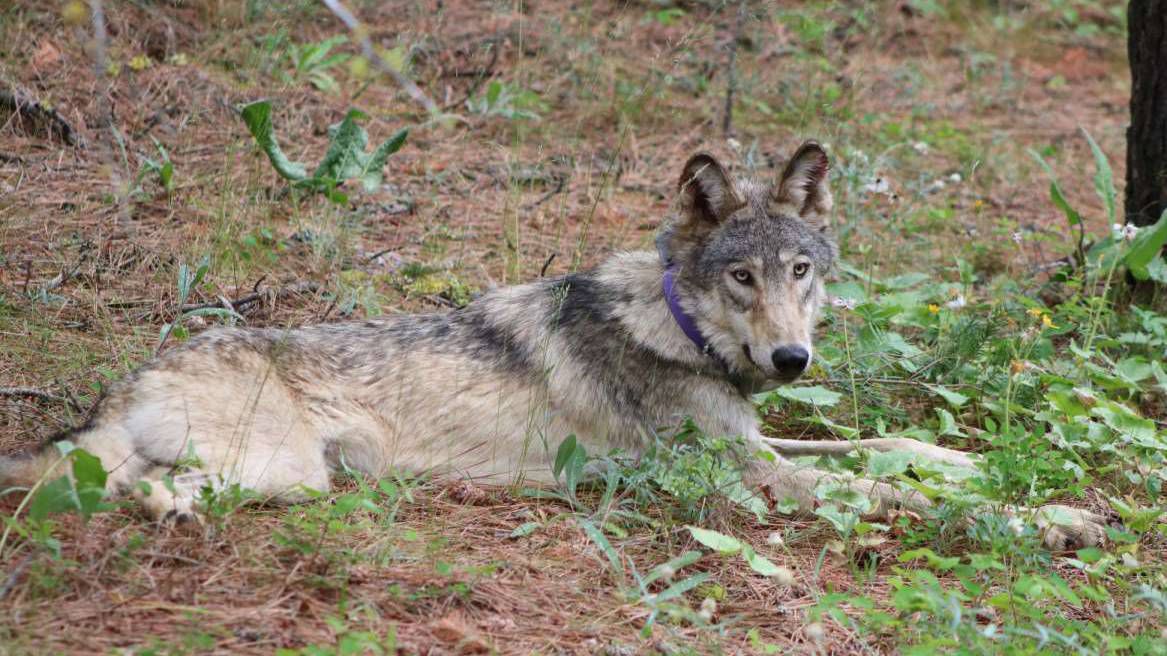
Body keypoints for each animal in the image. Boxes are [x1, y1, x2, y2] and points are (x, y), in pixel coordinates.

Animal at [0, 141, 1106, 546]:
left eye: (801, 271)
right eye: (740, 278)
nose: (791, 361)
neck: (676, 325)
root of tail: (134, 373)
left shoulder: (754, 443)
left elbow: (889, 448)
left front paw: (972, 463)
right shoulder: (743, 476)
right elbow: (882, 491)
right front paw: (1050, 517)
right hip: (284, 471)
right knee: (122, 487)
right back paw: (162, 512)